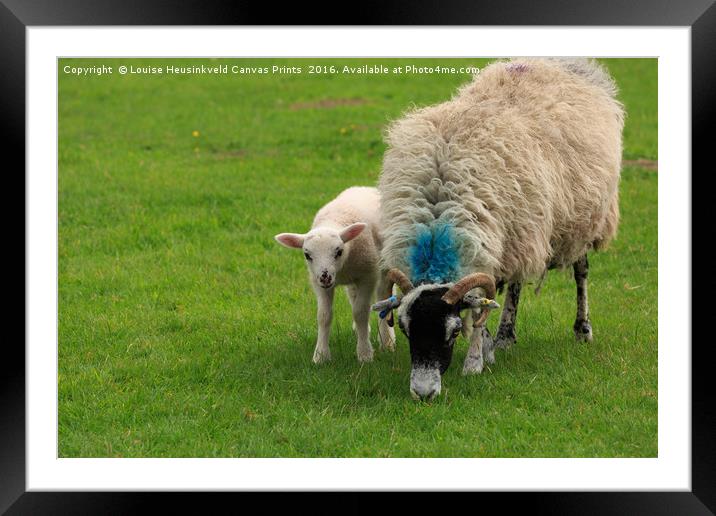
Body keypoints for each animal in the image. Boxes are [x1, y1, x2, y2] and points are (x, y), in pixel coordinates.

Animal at [276, 187, 398, 364]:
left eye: (338, 251)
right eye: (307, 255)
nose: (325, 277)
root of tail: (365, 188)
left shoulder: (368, 276)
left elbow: (360, 312)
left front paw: (365, 354)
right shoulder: (318, 283)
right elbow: (323, 315)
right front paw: (320, 355)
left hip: (384, 261)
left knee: (384, 295)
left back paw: (387, 341)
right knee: (353, 295)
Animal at [374, 59, 628, 400]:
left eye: (452, 332)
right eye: (404, 328)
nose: (423, 393)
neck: (437, 227)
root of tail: (563, 63)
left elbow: (480, 307)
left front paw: (474, 362)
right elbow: (486, 300)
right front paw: (488, 348)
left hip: (582, 219)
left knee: (581, 271)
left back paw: (582, 328)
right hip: (521, 231)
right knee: (517, 285)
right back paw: (506, 335)